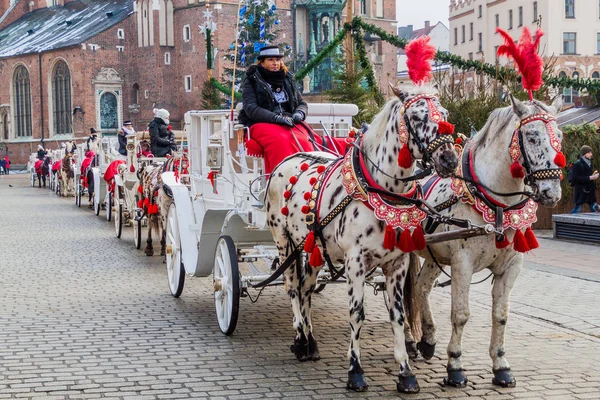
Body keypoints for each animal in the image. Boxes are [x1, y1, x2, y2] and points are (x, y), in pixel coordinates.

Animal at [266, 88, 460, 394]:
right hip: (283, 242)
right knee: (293, 288)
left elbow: (398, 315)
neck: (383, 190)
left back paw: (311, 343)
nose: (450, 160)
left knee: (306, 289)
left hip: (313, 250)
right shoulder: (355, 262)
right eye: (418, 117)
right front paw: (355, 372)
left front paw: (406, 372)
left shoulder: (397, 263)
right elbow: (356, 314)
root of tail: (286, 161)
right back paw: (299, 339)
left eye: (446, 115)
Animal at [406, 94, 564, 388]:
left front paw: (501, 366)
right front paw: (455, 366)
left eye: (559, 136)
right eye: (532, 136)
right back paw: (410, 341)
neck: (496, 206)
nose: (551, 192)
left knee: (421, 288)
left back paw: (428, 340)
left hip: (434, 255)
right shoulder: (462, 264)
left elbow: (501, 315)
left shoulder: (511, 266)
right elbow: (460, 314)